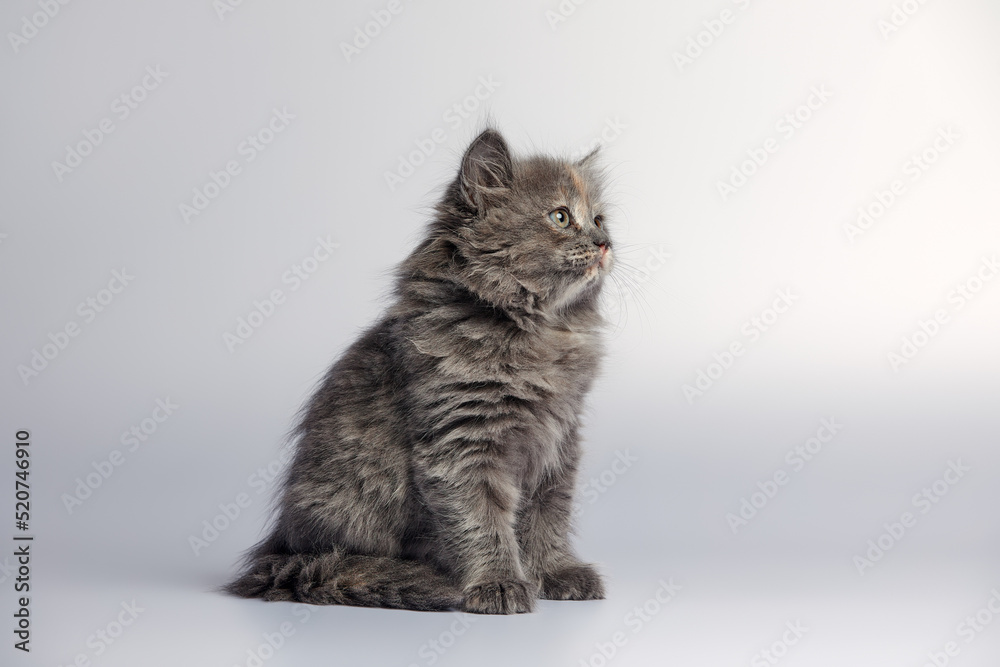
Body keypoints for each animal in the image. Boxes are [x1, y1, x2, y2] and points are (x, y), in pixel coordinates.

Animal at [226, 128, 612, 612]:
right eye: (560, 217)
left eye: (599, 219)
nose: (605, 243)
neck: (536, 328)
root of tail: (278, 548)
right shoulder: (462, 441)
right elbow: (483, 520)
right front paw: (499, 583)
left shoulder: (558, 442)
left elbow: (548, 517)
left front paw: (554, 572)